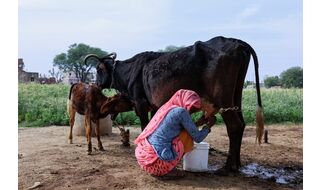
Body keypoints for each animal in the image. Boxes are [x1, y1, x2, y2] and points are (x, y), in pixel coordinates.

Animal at [84, 36, 262, 175]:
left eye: (99, 69)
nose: (96, 84)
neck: (130, 71)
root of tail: (237, 42)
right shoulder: (155, 106)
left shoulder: (141, 104)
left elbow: (144, 127)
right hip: (236, 96)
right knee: (241, 124)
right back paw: (237, 164)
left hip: (223, 99)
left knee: (234, 125)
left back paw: (228, 167)